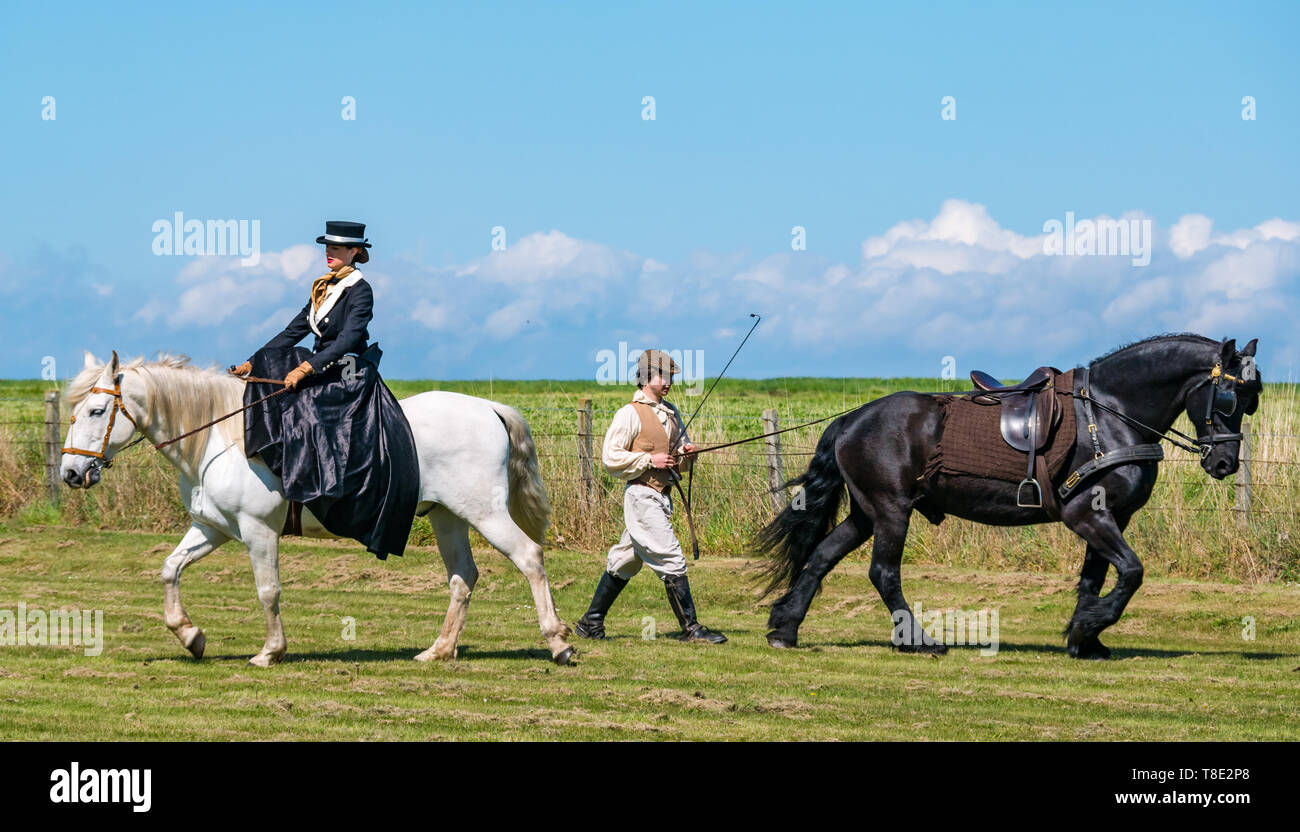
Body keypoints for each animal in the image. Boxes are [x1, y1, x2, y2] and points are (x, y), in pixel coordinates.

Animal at [57, 351, 574, 663]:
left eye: (97, 412)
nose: (71, 473)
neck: (220, 437)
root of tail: (488, 408)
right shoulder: (212, 528)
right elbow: (169, 569)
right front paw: (190, 636)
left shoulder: (257, 531)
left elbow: (268, 590)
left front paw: (270, 652)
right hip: (450, 518)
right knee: (463, 577)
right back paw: (438, 651)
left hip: (486, 514)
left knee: (529, 558)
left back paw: (559, 643)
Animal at [759, 335, 1258, 660]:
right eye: (1230, 397)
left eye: (1253, 398)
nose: (1224, 464)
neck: (1108, 414)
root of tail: (851, 419)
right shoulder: (1086, 514)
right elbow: (1132, 572)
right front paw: (1089, 625)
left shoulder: (1112, 517)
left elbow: (1094, 579)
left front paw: (1085, 637)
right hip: (891, 511)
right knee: (883, 573)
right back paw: (919, 641)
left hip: (867, 512)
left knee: (821, 556)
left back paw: (786, 626)